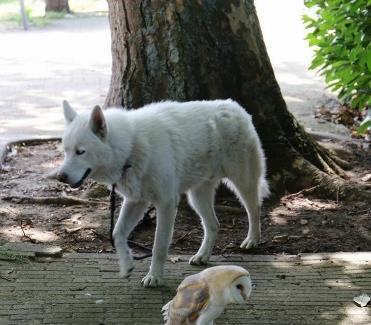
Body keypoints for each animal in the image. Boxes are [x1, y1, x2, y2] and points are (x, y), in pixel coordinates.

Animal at [56, 98, 268, 286]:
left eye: (80, 152)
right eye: (66, 151)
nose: (60, 177)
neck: (131, 148)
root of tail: (235, 106)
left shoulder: (166, 204)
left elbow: (158, 246)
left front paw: (154, 277)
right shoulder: (135, 201)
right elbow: (117, 234)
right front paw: (127, 265)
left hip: (243, 183)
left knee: (254, 208)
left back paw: (252, 240)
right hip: (196, 197)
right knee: (214, 225)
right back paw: (202, 256)